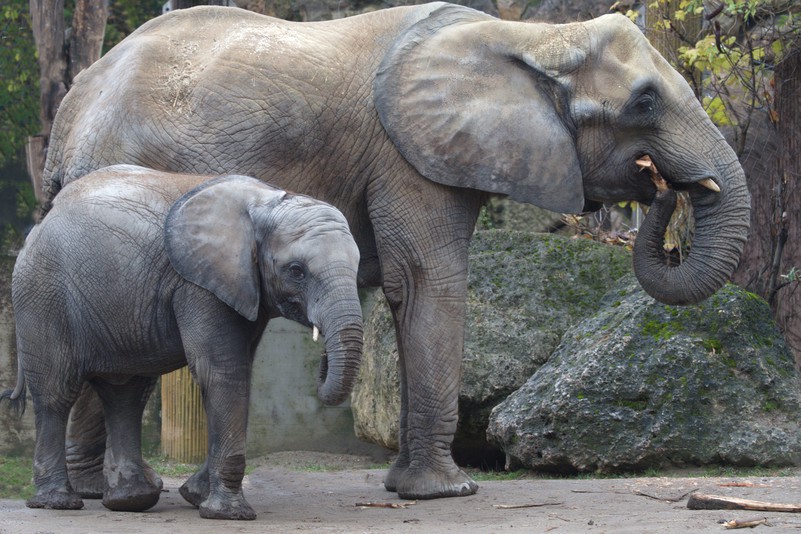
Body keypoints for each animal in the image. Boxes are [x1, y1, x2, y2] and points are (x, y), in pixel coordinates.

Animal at [1, 165, 364, 520]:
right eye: (297, 270)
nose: (322, 359)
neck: (266, 202)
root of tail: (39, 224)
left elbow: (241, 371)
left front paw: (196, 496)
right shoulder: (198, 285)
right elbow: (223, 372)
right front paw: (228, 514)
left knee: (126, 393)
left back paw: (132, 500)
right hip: (43, 295)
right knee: (57, 393)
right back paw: (58, 502)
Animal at [39, 2, 752, 502]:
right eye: (645, 102)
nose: (660, 183)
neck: (530, 38)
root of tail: (70, 109)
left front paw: (410, 487)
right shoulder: (409, 158)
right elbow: (428, 282)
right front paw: (448, 492)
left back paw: (101, 493)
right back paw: (107, 495)